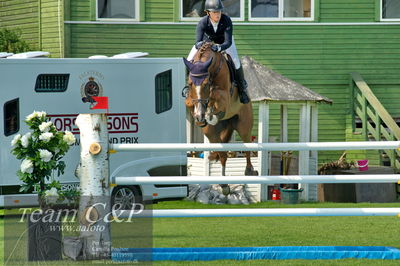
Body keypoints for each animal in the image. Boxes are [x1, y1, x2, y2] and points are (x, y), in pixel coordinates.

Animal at [184, 42, 258, 195]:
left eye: (205, 84)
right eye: (190, 83)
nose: (200, 118)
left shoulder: (225, 98)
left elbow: (215, 93)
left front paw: (210, 112)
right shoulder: (190, 100)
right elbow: (192, 102)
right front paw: (202, 114)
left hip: (244, 125)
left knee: (247, 146)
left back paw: (249, 171)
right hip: (211, 133)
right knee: (223, 155)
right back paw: (224, 185)